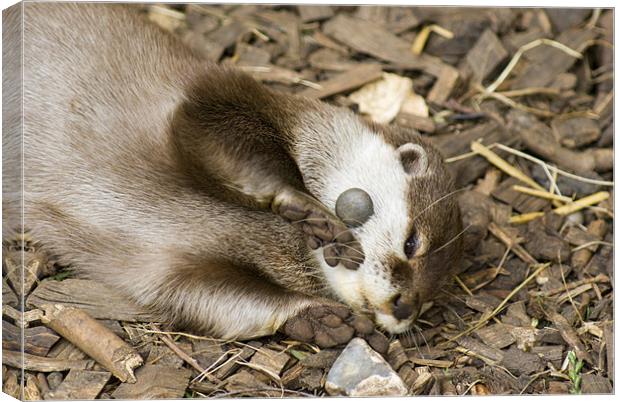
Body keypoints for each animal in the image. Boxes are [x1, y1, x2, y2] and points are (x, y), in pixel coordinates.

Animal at [2, 3, 462, 348]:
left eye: (430, 298)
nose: (406, 307)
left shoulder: (167, 267)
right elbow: (217, 139)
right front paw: (306, 208)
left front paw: (322, 318)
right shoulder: (213, 100)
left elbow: (214, 300)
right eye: (412, 243)